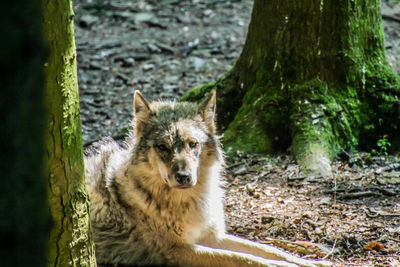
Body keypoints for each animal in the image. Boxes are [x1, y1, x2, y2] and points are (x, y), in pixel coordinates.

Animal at [85, 90, 332, 267]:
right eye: (162, 147)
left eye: (192, 144)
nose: (183, 177)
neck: (189, 202)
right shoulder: (178, 250)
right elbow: (246, 259)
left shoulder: (212, 236)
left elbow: (270, 250)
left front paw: (311, 262)